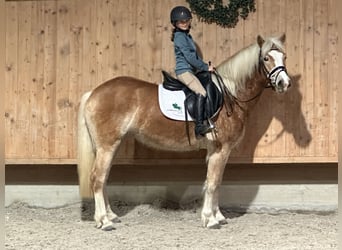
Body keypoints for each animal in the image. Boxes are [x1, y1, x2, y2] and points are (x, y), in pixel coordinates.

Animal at [78, 33, 292, 230]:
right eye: (266, 58)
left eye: (284, 57)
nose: (284, 83)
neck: (229, 95)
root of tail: (94, 92)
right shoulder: (221, 149)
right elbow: (213, 183)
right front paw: (210, 220)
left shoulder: (216, 151)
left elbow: (216, 182)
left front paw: (218, 216)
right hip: (107, 146)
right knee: (97, 178)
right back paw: (104, 221)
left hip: (108, 146)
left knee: (104, 178)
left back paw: (111, 216)